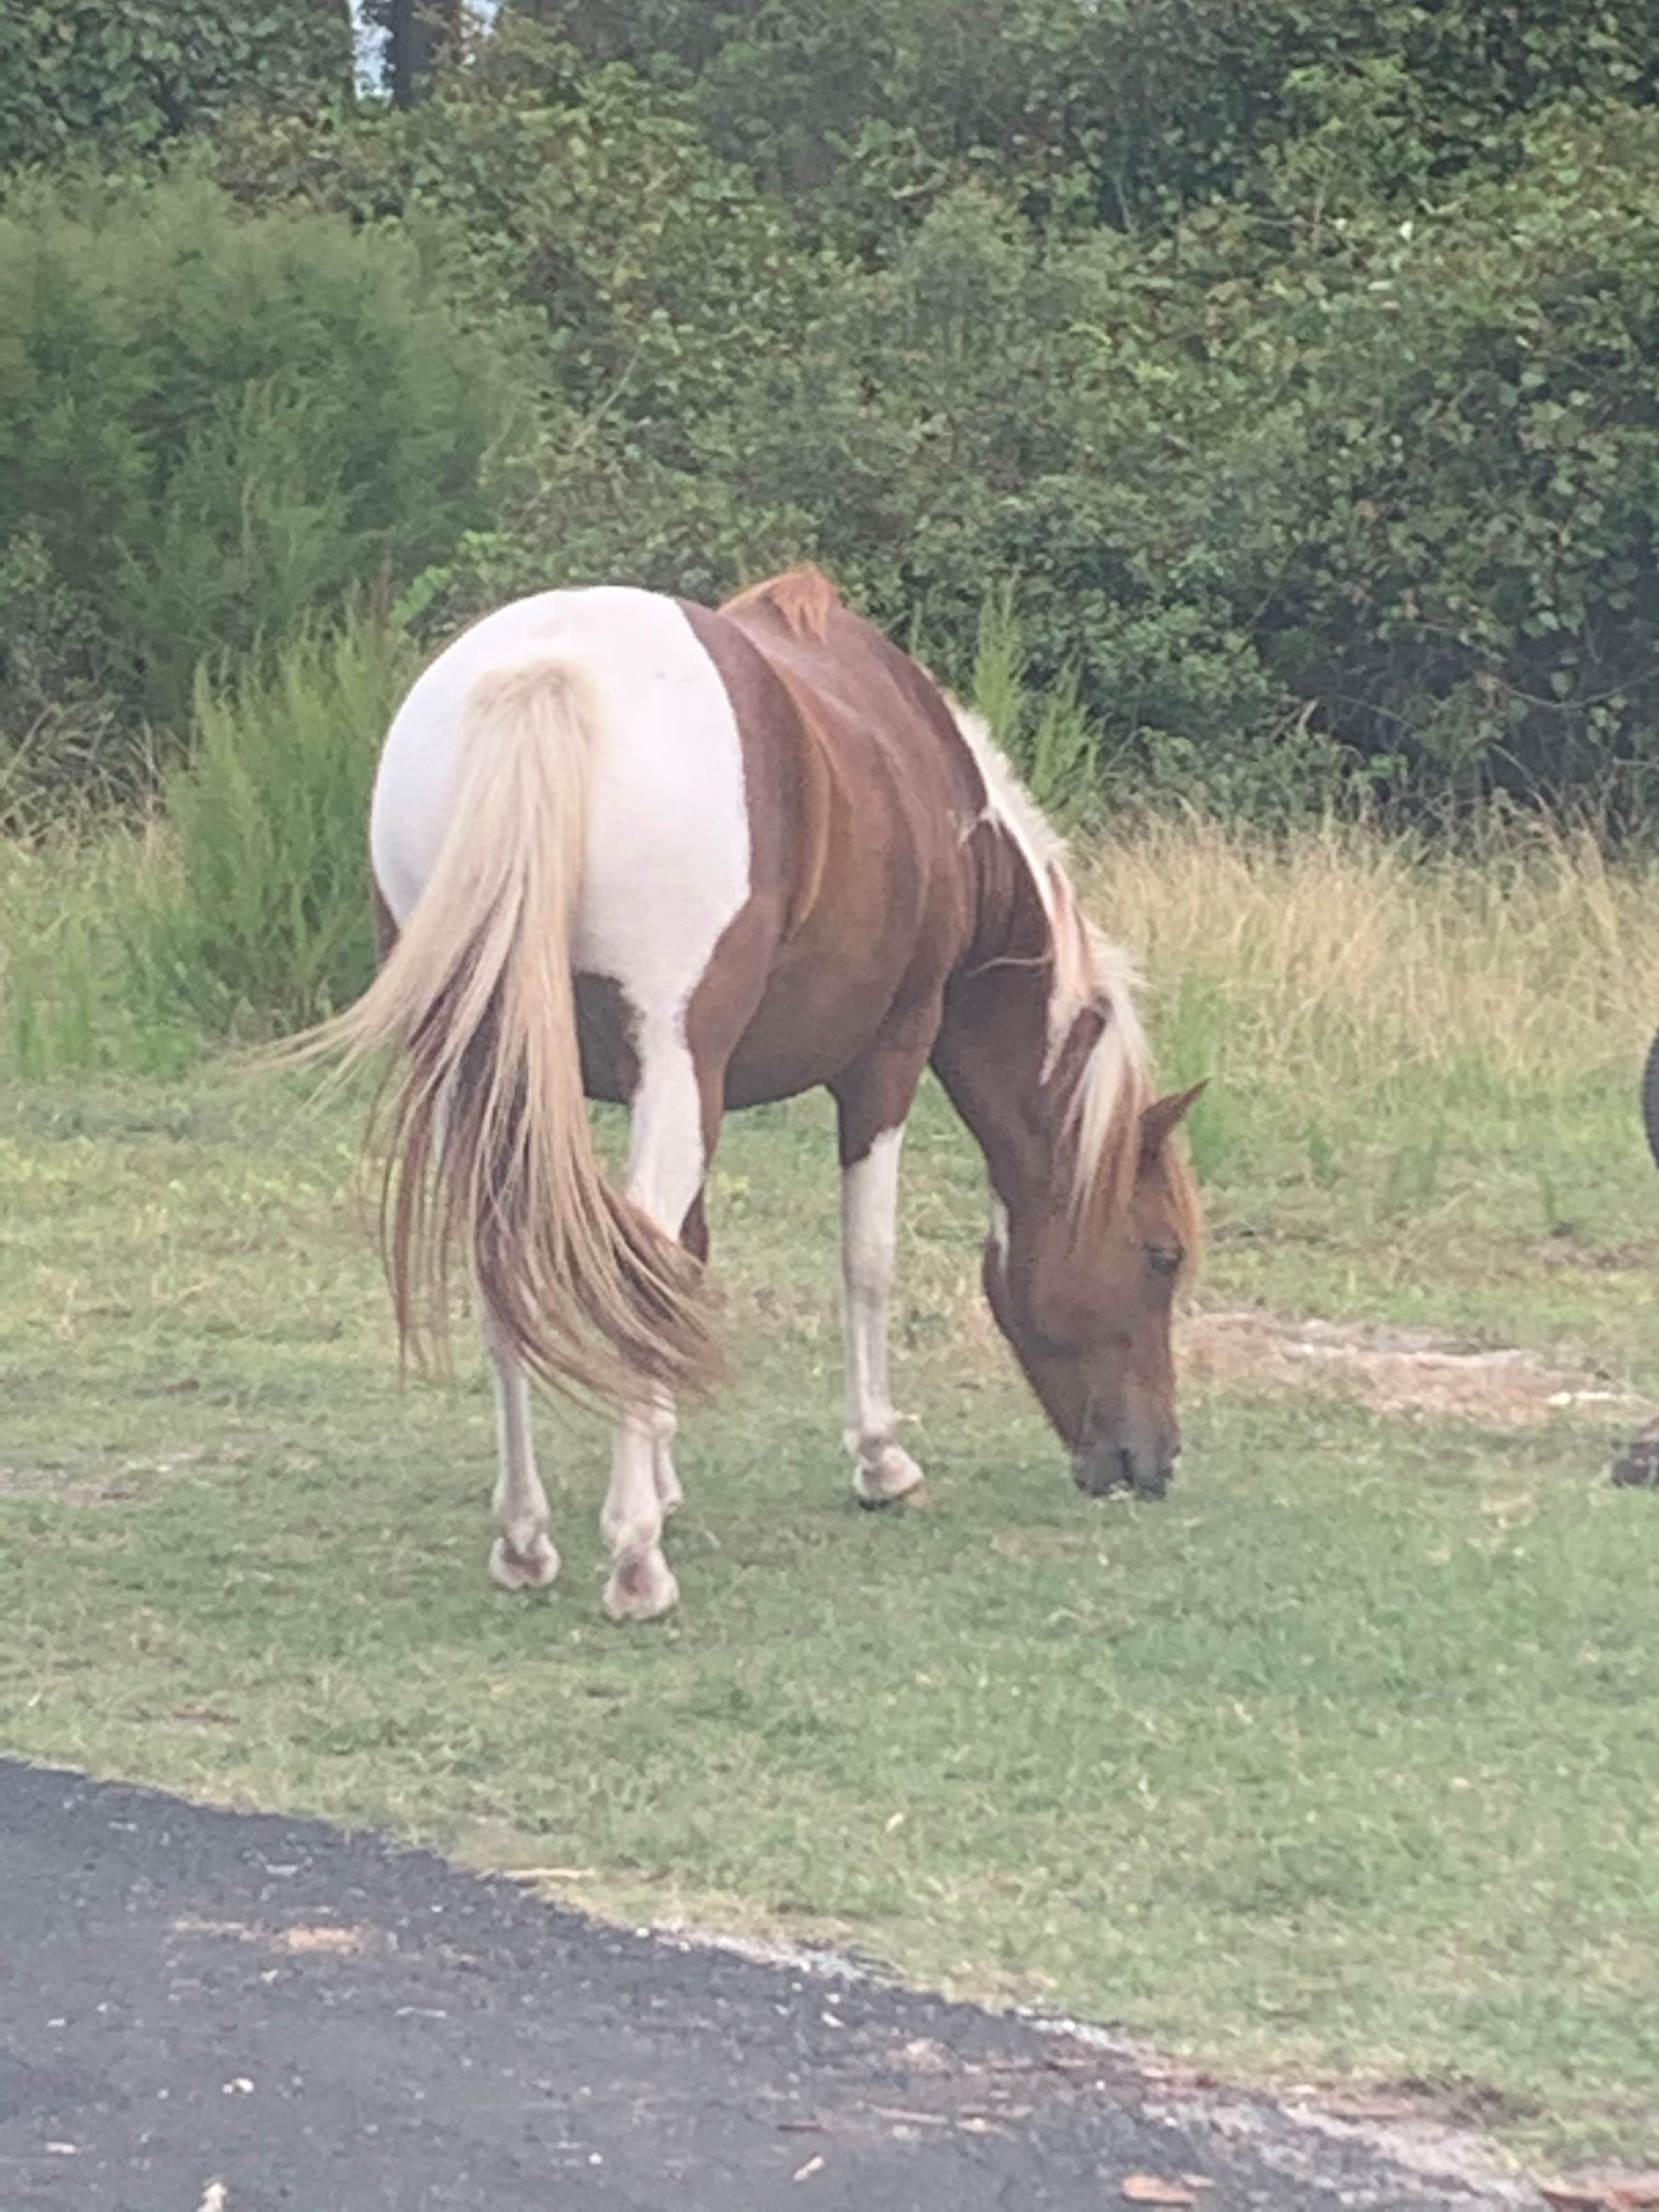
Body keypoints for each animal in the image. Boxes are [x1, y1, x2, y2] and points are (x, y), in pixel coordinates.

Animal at [298, 567, 1204, 1620]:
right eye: (1161, 1255)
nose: (1152, 1461)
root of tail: (545, 671)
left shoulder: (701, 1092)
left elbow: (685, 1264)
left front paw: (664, 1475)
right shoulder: (886, 1056)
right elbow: (863, 1256)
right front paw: (878, 1462)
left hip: (479, 1064)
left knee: (508, 1263)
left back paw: (525, 1537)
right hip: (668, 1058)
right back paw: (635, 1564)